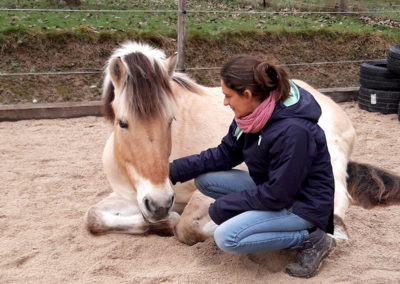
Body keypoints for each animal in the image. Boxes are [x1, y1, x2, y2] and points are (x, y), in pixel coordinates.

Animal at [86, 40, 400, 244]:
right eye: (122, 123)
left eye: (170, 120)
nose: (160, 203)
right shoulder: (132, 196)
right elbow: (93, 218)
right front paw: (160, 221)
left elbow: (187, 226)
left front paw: (174, 221)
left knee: (337, 202)